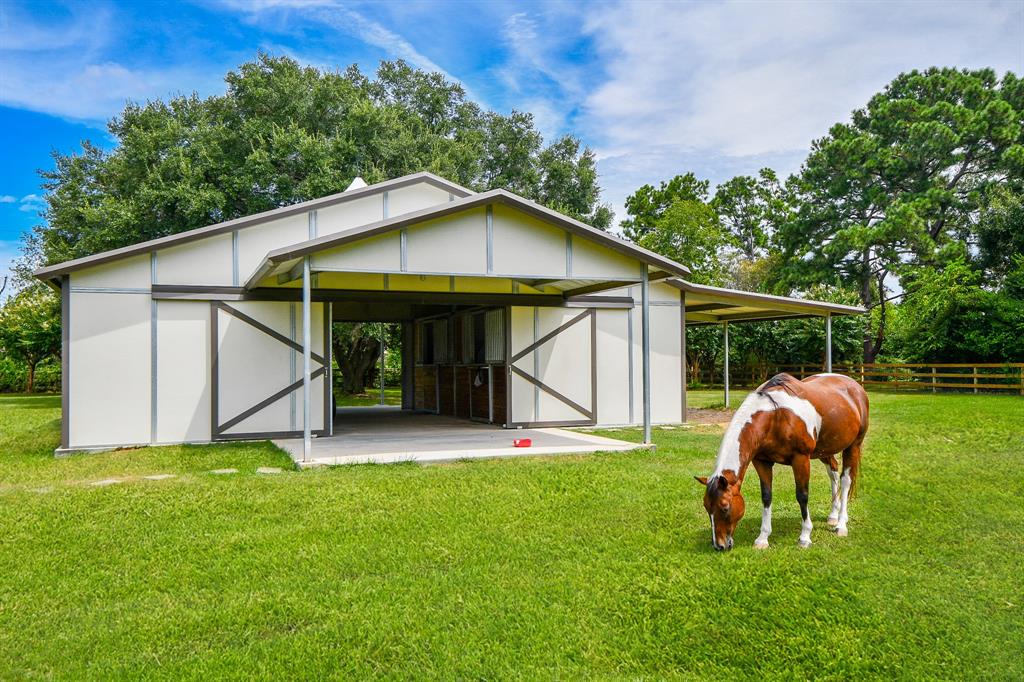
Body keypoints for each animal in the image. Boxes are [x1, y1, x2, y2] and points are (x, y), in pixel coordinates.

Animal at [692, 372, 868, 548]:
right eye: (706, 507)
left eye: (724, 507)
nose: (719, 545)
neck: (775, 416)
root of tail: (855, 387)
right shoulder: (762, 462)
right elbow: (766, 496)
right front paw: (762, 538)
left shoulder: (801, 459)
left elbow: (802, 495)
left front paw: (805, 536)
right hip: (825, 450)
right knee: (833, 471)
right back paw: (833, 516)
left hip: (853, 446)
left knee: (845, 480)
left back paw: (841, 525)